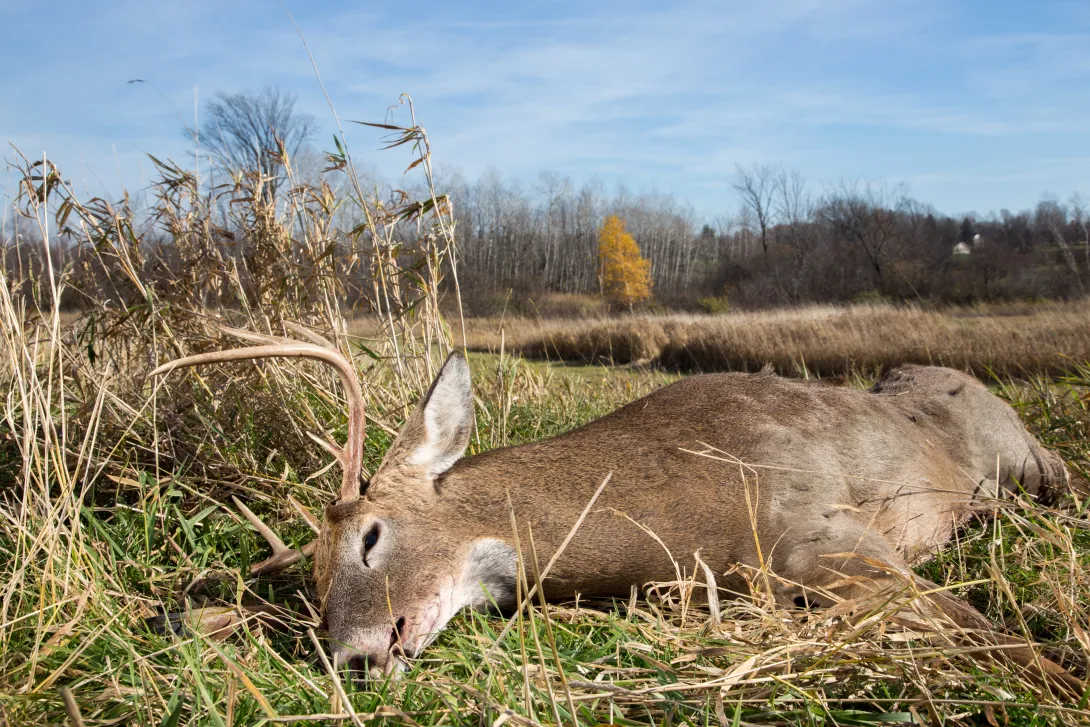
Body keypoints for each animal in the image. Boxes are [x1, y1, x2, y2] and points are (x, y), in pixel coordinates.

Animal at [151, 326, 1085, 695]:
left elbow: (984, 629)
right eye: (309, 587)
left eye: (371, 536)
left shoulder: (820, 528)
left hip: (1028, 458)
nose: (349, 657)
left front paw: (1064, 678)